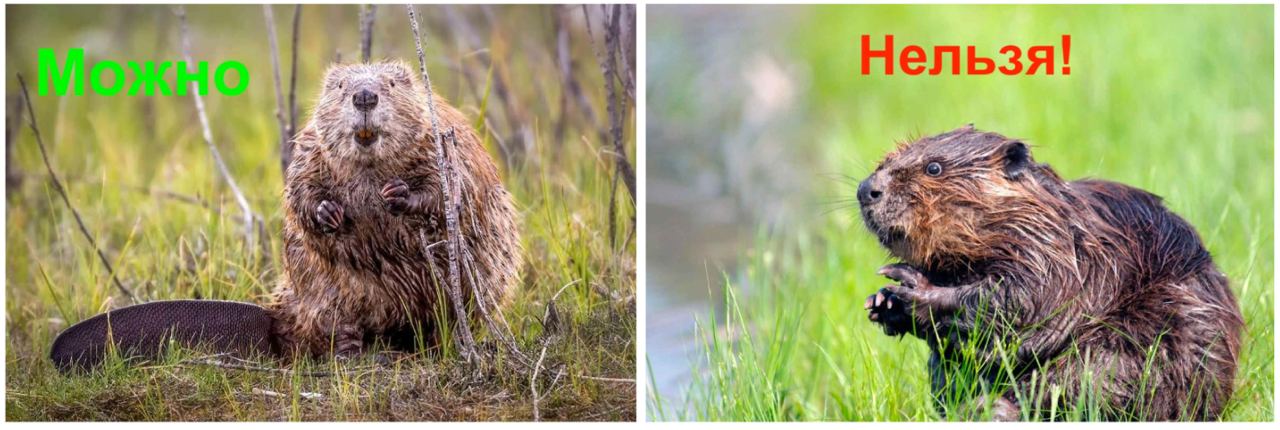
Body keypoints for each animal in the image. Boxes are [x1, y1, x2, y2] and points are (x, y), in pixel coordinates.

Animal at [49, 59, 519, 368]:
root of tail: (274, 322)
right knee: (331, 329)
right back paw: (349, 350)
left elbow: (450, 189)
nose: (364, 95)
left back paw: (435, 343)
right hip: (323, 294)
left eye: (389, 82)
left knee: (438, 324)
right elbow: (299, 191)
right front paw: (329, 212)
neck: (369, 165)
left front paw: (398, 194)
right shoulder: (309, 146)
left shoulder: (443, 140)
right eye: (340, 86)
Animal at [860, 124, 1239, 419]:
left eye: (934, 168)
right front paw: (882, 302)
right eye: (887, 161)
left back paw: (993, 409)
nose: (867, 189)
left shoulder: (1056, 250)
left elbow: (1025, 300)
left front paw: (910, 288)